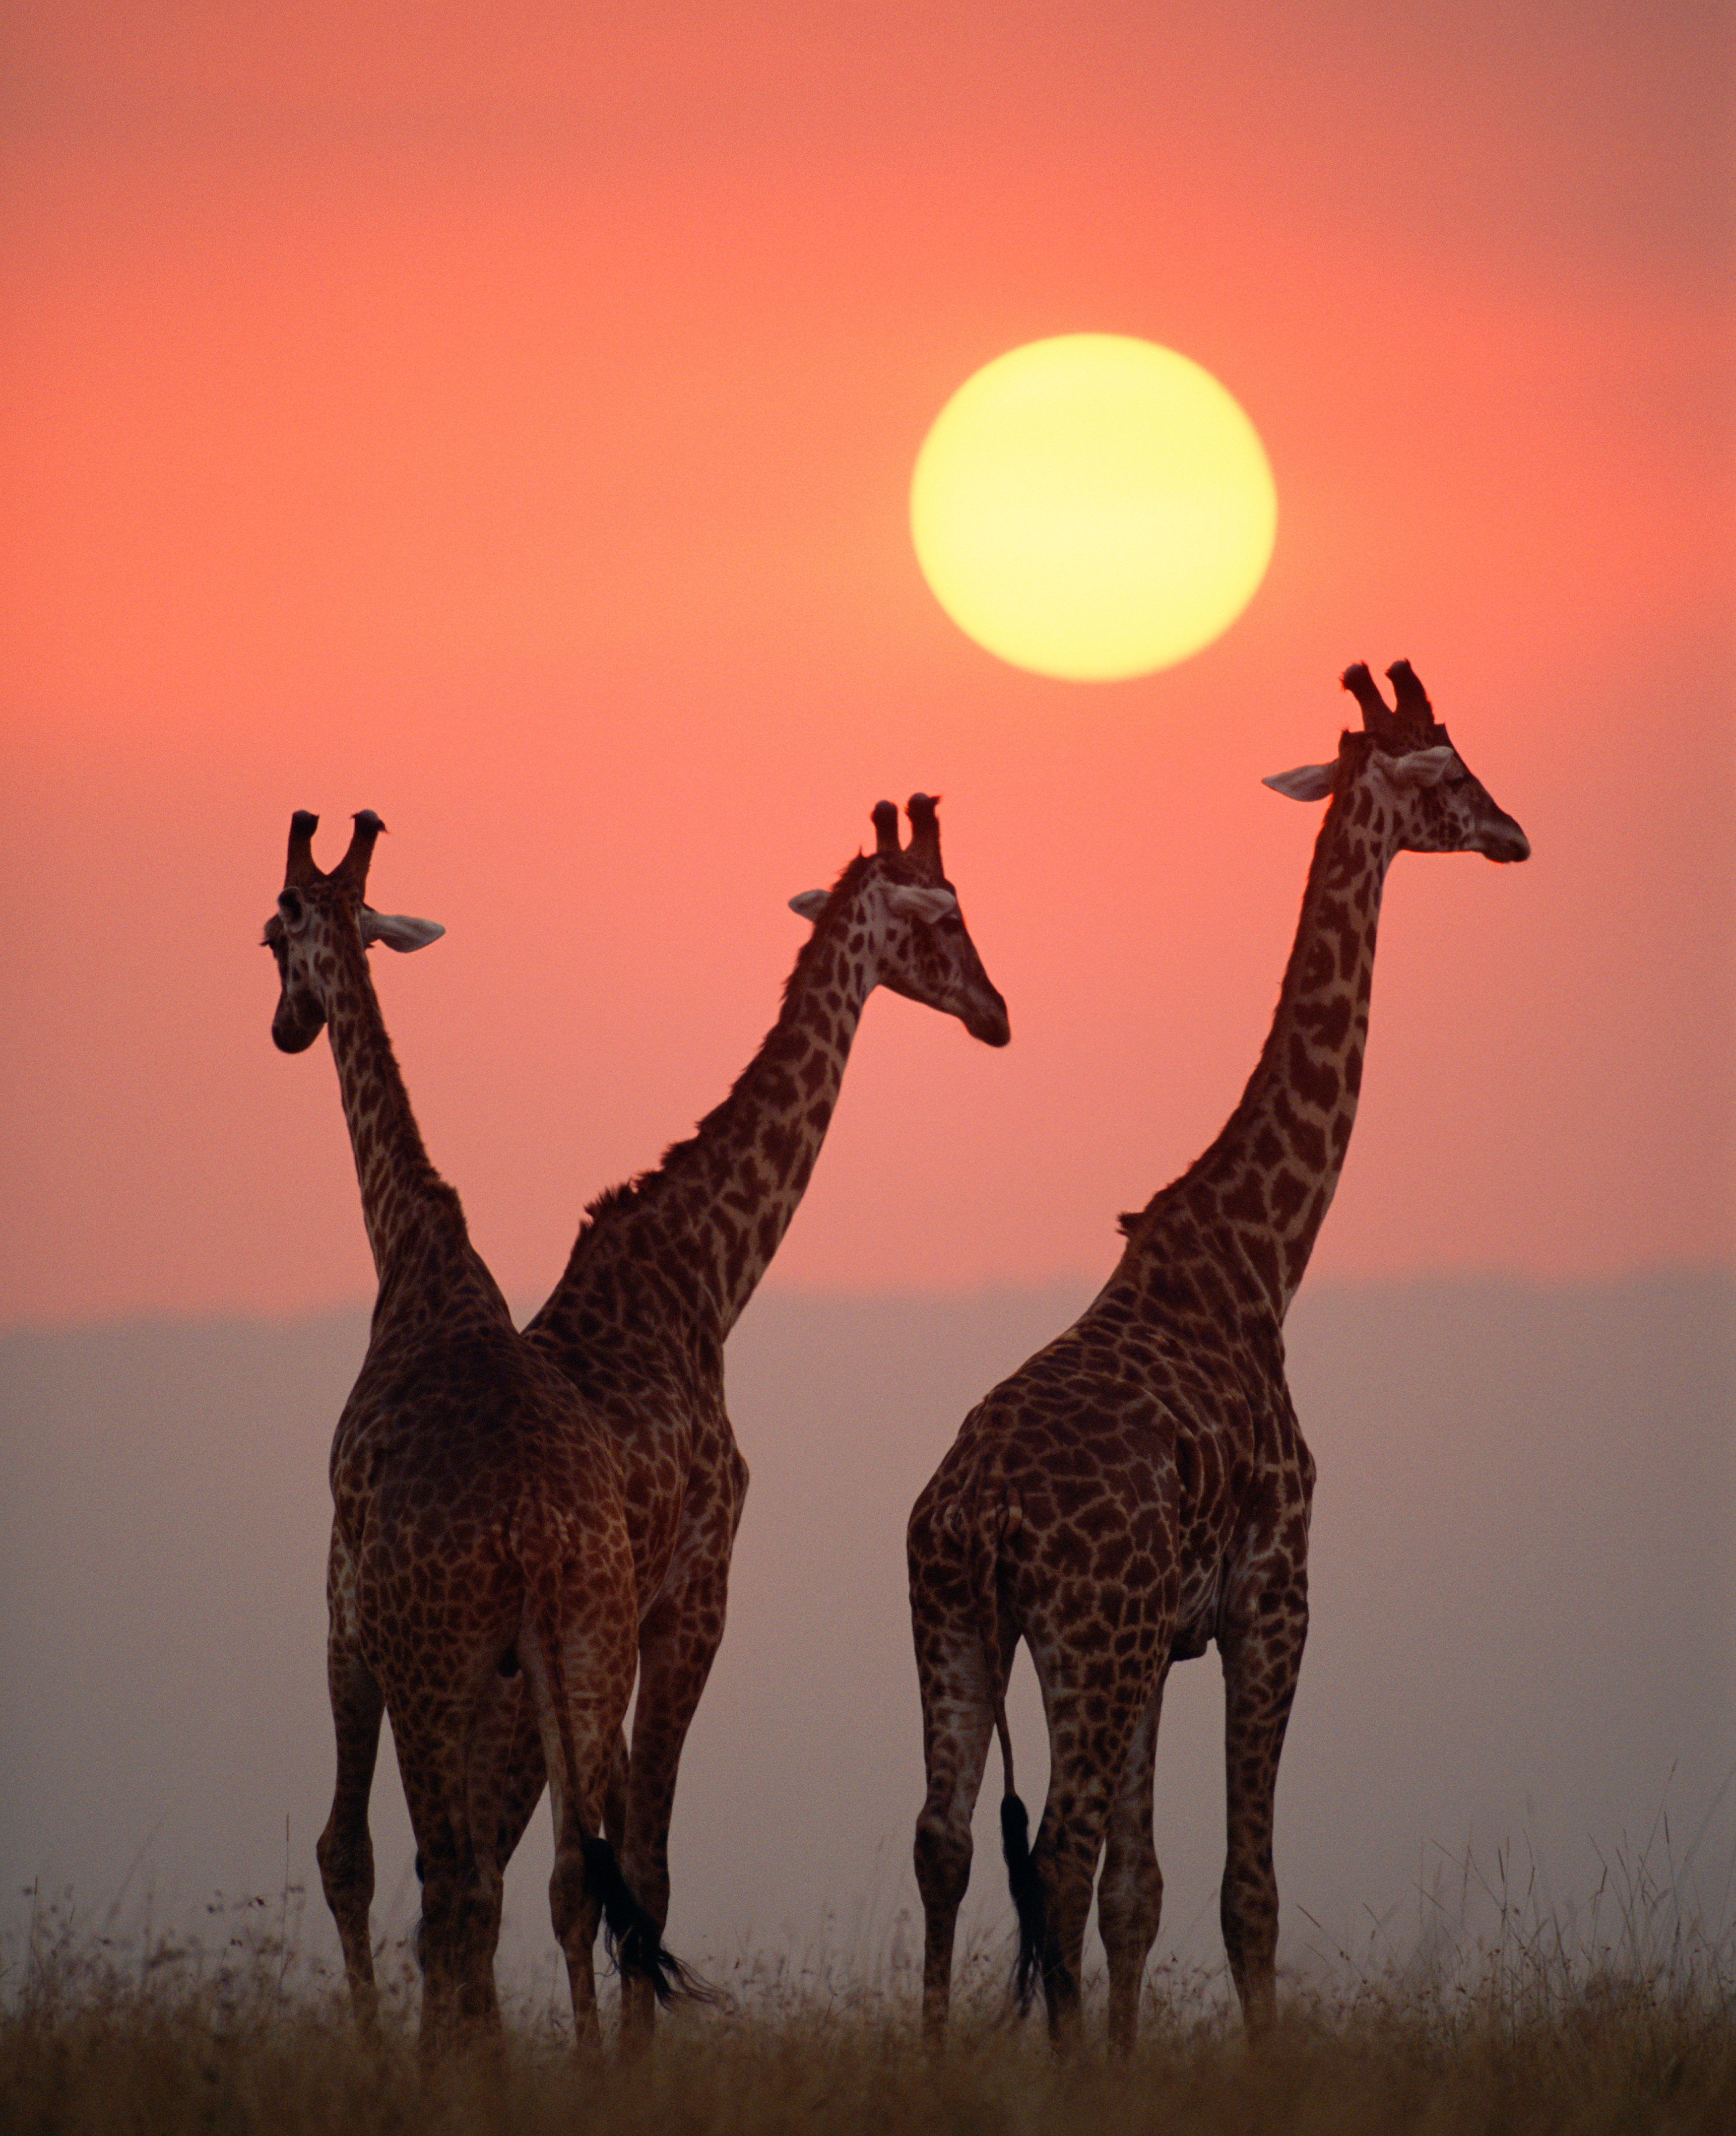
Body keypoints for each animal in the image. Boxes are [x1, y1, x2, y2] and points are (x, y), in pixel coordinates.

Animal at [263, 809, 691, 2052]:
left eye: (270, 934)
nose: (285, 1028)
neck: (415, 1254)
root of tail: (535, 1543)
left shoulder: (344, 1605)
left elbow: (347, 1852)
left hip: (437, 1663)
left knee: (452, 1874)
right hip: (588, 1655)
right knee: (570, 1872)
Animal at [480, 795, 1010, 2046]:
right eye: (945, 918)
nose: (999, 1013)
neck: (708, 1273)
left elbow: (615, 1866)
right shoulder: (698, 1586)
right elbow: (648, 1868)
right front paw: (632, 2056)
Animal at [906, 663, 1530, 2054]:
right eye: (1454, 771)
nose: (1517, 834)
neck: (1260, 1258)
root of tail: (980, 1514)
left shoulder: (1161, 1641)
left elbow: (1138, 1892)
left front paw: (1135, 2061)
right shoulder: (1274, 1596)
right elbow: (1245, 1889)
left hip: (958, 1618)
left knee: (947, 1840)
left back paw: (929, 2058)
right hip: (1081, 1633)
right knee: (1056, 1847)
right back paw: (1057, 2068)